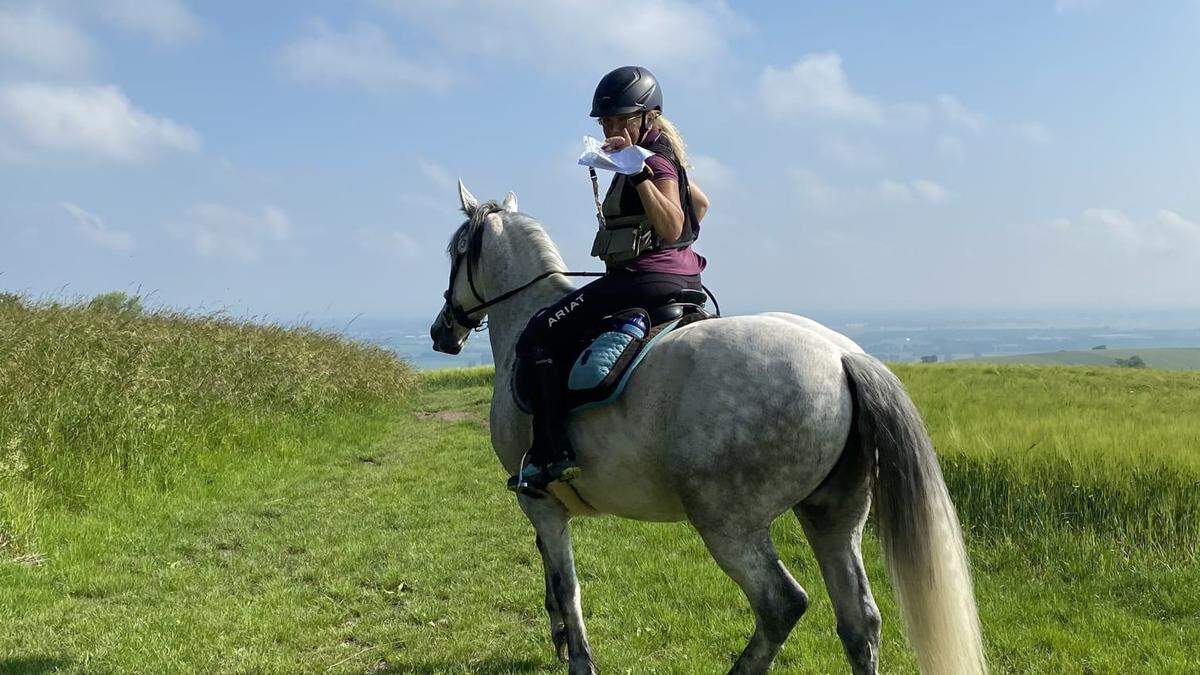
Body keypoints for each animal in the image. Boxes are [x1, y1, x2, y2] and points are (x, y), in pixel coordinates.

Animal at [432, 180, 984, 672]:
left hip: (729, 525)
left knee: (782, 605)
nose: (442, 331)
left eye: (454, 253)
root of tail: (841, 356)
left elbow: (566, 583)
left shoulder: (539, 501)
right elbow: (551, 571)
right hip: (833, 515)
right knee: (860, 621)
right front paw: (561, 641)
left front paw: (577, 657)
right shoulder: (545, 508)